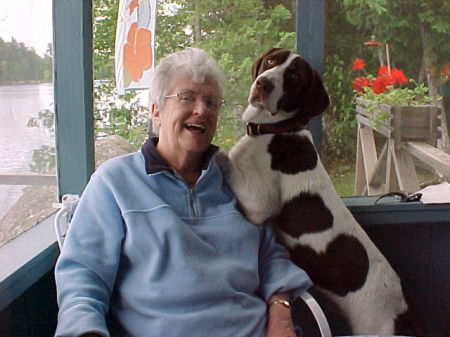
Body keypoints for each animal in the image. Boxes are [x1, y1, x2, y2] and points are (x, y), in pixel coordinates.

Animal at [223, 48, 424, 334]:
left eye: (294, 76)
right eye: (271, 61)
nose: (264, 83)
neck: (276, 131)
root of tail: (406, 310)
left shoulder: (258, 205)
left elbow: (224, 158)